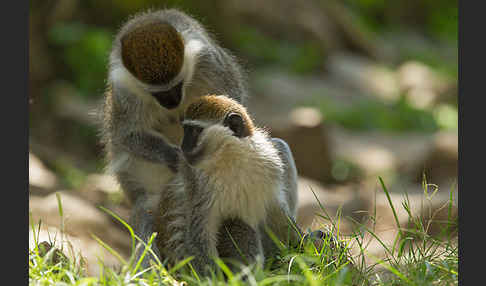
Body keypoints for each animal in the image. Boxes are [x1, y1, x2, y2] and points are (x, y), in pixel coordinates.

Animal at [101, 8, 249, 264]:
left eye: (177, 86)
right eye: (158, 93)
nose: (172, 102)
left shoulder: (210, 62)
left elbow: (233, 100)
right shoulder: (124, 90)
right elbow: (126, 135)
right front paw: (174, 157)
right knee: (144, 207)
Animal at [155, 95, 304, 274]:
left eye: (195, 131)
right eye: (185, 130)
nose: (182, 147)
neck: (232, 157)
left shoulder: (270, 167)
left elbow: (276, 212)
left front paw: (306, 242)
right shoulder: (199, 185)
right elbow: (199, 234)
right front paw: (213, 277)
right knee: (236, 222)